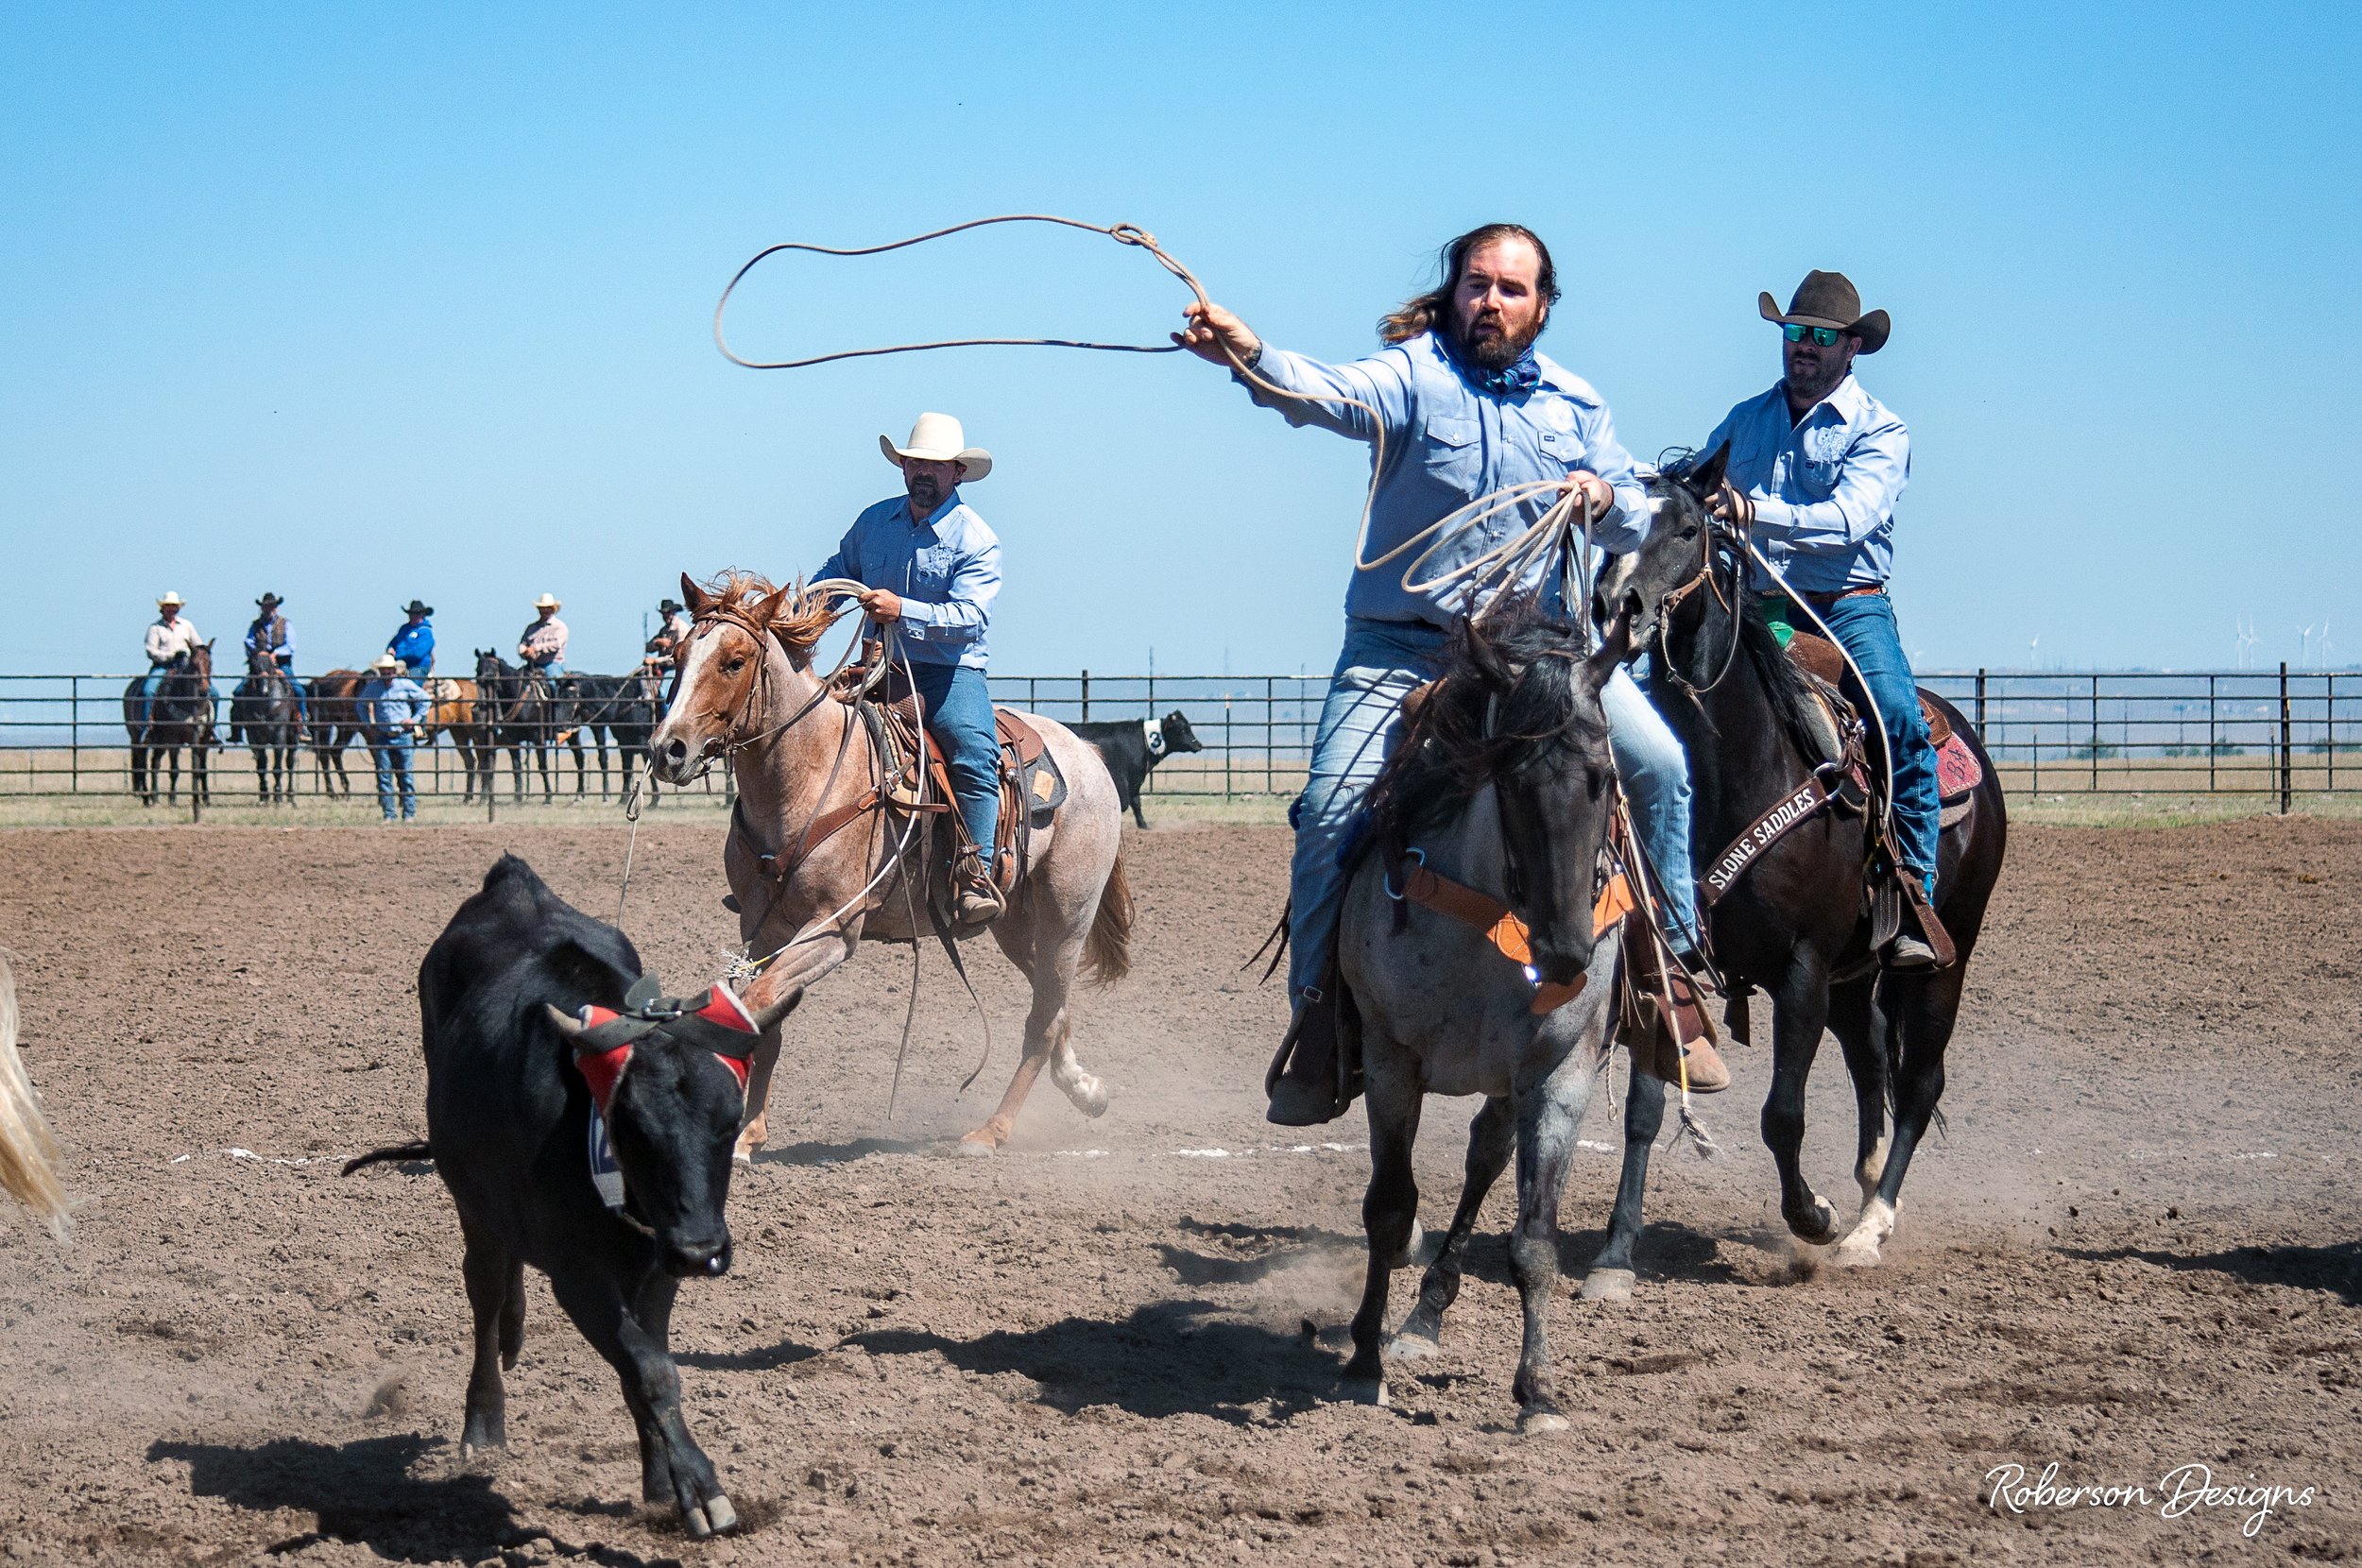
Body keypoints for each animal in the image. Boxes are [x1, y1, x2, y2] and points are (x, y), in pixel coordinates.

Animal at [122, 642, 217, 803]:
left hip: (159, 741)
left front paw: (205, 799)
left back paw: (152, 796)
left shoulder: (202, 740)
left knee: (153, 763)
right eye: (193, 664)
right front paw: (172, 798)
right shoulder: (174, 739)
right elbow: (174, 769)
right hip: (139, 739)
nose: (204, 690)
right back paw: (148, 797)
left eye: (210, 663)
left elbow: (201, 769)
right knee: (142, 765)